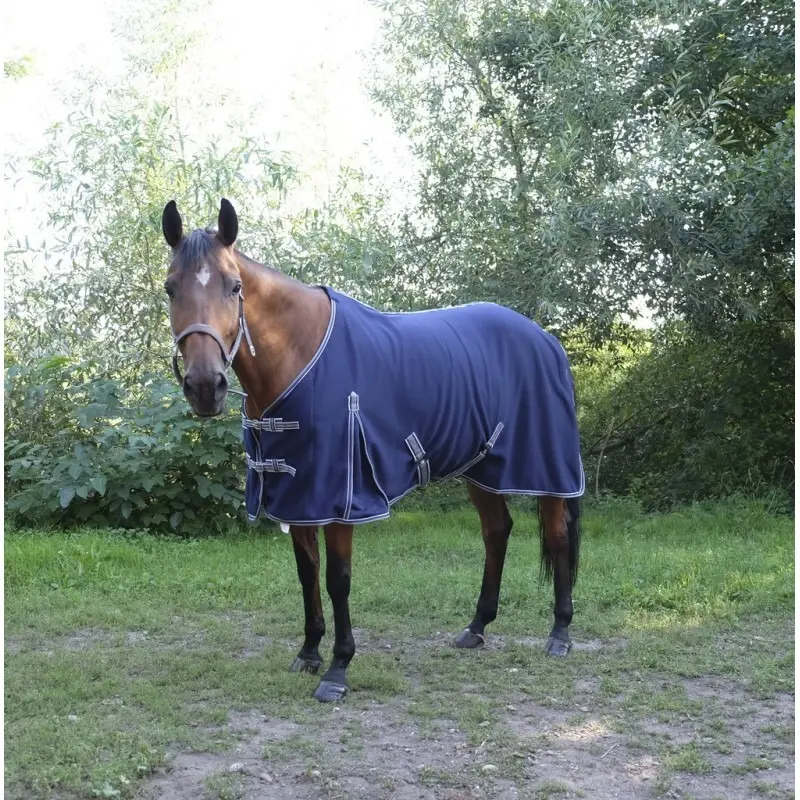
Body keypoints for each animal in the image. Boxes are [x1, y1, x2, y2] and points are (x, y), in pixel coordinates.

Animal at [162, 198, 584, 703]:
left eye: (235, 286)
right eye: (170, 288)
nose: (205, 386)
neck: (297, 354)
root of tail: (546, 339)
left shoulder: (340, 498)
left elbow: (337, 580)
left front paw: (337, 670)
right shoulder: (299, 495)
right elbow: (306, 573)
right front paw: (308, 653)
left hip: (546, 471)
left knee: (557, 538)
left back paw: (560, 634)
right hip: (480, 468)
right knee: (496, 532)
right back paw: (477, 627)